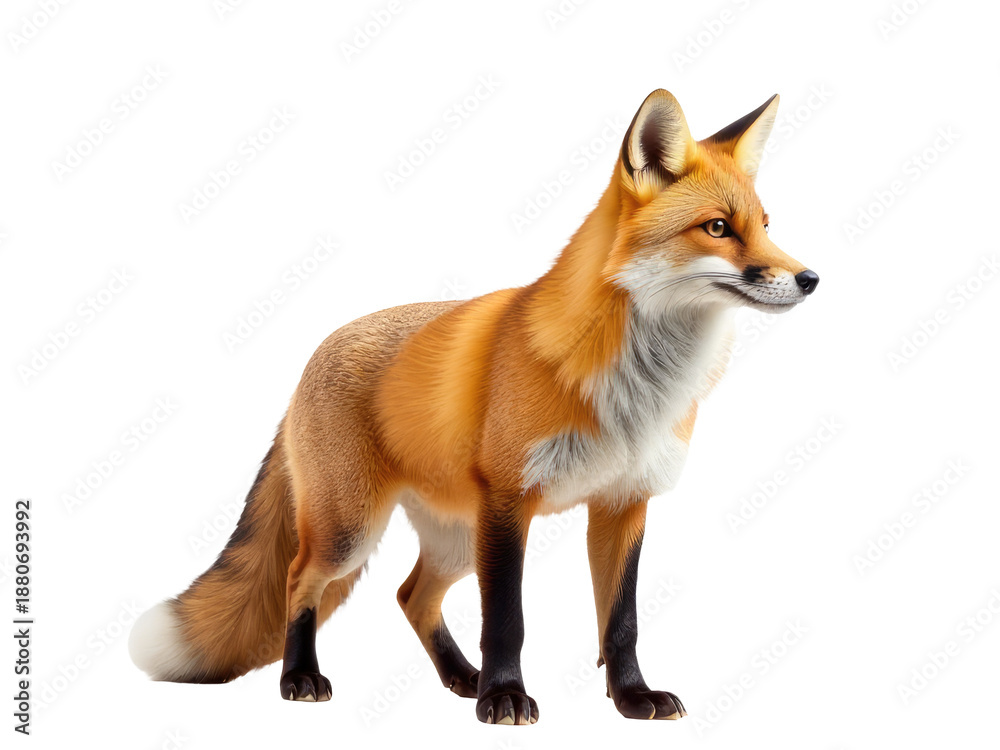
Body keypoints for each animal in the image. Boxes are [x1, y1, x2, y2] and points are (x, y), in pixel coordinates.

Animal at [130, 88, 819, 725]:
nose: (811, 279)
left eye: (766, 224)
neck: (639, 387)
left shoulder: (624, 502)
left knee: (411, 595)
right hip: (353, 531)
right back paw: (302, 678)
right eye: (718, 228)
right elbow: (507, 620)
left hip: (459, 540)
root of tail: (313, 359)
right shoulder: (511, 500)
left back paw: (461, 677)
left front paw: (631, 698)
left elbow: (619, 622)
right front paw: (505, 697)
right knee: (301, 583)